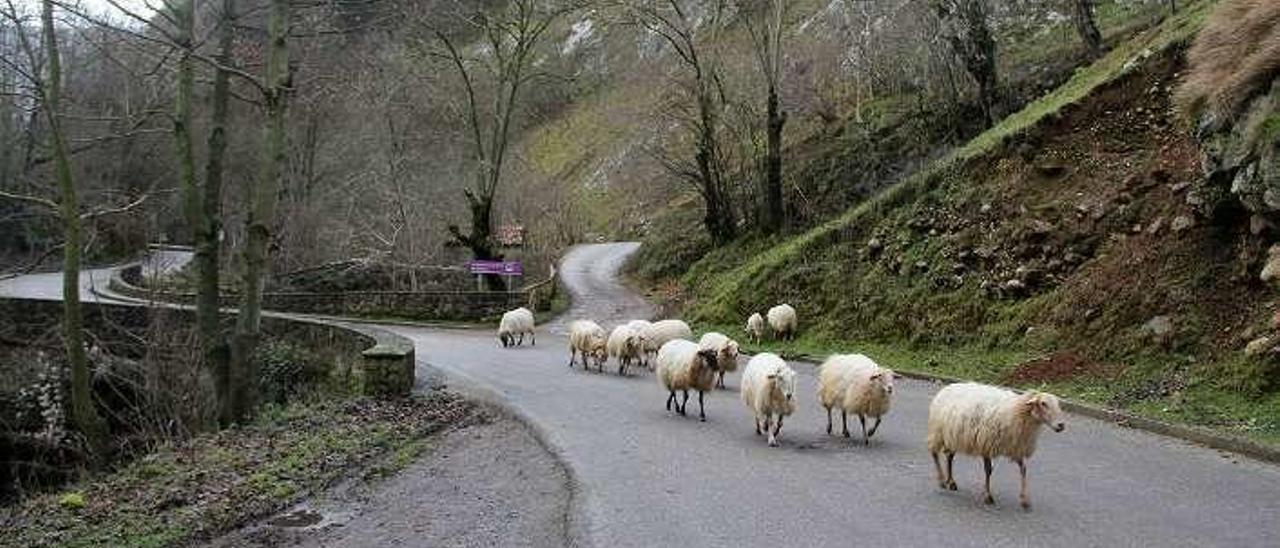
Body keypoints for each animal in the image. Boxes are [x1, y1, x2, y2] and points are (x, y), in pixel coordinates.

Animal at [926, 384, 1064, 507]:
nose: (1061, 425)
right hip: (938, 432)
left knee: (949, 456)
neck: (1018, 411)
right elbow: (988, 470)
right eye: (1043, 403)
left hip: (953, 435)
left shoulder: (1015, 446)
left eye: (1058, 404)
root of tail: (947, 387)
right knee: (934, 453)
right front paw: (988, 496)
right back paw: (942, 481)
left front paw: (1025, 500)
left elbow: (1023, 469)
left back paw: (951, 482)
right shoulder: (987, 444)